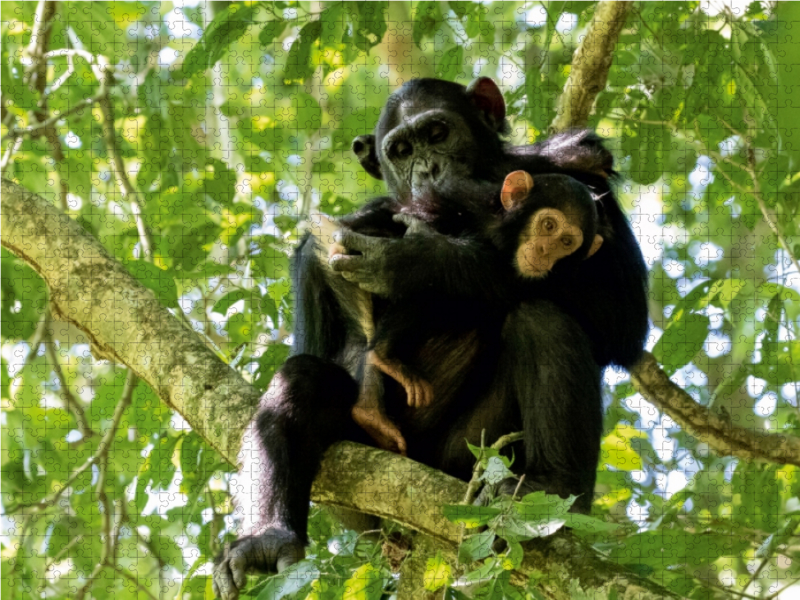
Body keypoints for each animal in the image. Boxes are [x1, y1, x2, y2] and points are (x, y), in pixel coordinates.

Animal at [211, 77, 644, 596]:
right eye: (401, 150)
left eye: (439, 133)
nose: (427, 167)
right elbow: (321, 288)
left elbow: (623, 319)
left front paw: (419, 262)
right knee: (302, 377)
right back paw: (269, 537)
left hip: (466, 456)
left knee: (542, 318)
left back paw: (553, 485)